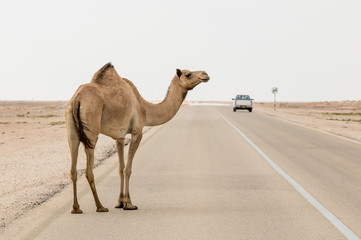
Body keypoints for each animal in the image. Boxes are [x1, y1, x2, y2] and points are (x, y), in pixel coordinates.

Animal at [66, 62, 210, 213]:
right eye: (188, 74)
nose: (205, 74)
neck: (145, 108)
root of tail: (77, 99)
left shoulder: (119, 137)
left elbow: (120, 169)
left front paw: (120, 202)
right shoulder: (137, 132)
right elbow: (128, 169)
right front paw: (129, 204)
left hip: (71, 129)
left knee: (73, 169)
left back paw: (76, 208)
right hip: (91, 126)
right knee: (89, 171)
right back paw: (100, 206)